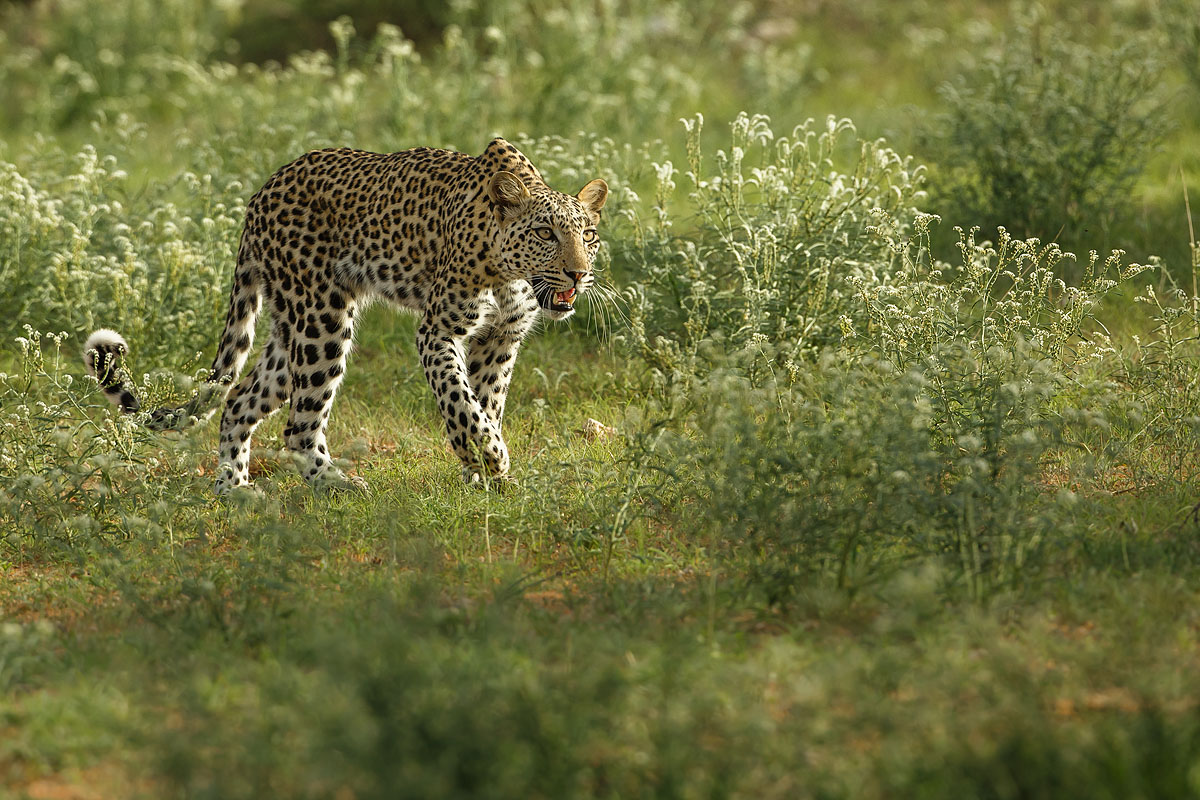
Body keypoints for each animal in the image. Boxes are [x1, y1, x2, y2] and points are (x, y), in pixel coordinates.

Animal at [84, 138, 608, 493]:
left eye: (589, 235)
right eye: (544, 233)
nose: (578, 273)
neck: (509, 275)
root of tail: (261, 192)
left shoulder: (500, 339)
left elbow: (486, 403)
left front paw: (482, 475)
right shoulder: (437, 331)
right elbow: (459, 400)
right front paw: (489, 458)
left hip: (292, 328)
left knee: (239, 400)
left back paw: (234, 490)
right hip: (321, 322)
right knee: (297, 426)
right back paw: (338, 485)